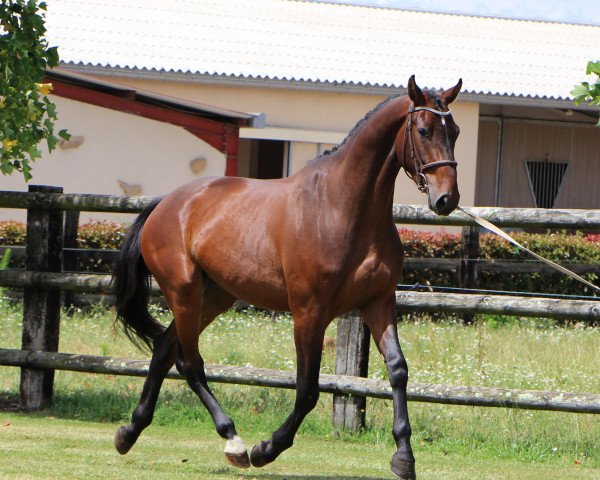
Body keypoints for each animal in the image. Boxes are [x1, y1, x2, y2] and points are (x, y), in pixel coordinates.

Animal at [112, 76, 462, 480]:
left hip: (214, 296)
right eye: (423, 130)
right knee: (189, 362)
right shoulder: (309, 313)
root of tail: (166, 203)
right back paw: (234, 442)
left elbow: (398, 371)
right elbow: (307, 389)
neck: (340, 208)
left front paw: (404, 457)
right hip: (183, 292)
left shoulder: (378, 303)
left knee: (165, 349)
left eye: (455, 131)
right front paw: (267, 448)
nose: (447, 199)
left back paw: (129, 431)